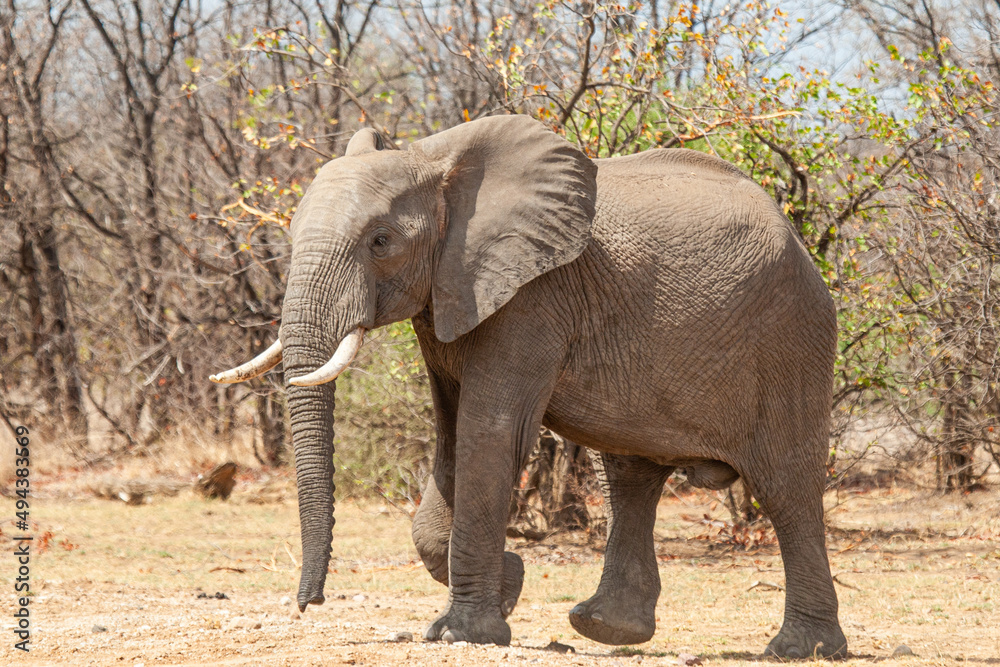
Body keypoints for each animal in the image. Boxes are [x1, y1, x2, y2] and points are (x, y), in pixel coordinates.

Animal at [209, 113, 844, 656]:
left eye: (381, 241)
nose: (308, 604)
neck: (435, 162)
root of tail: (798, 239)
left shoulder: (531, 298)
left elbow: (489, 435)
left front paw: (461, 632)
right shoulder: (451, 297)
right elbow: (451, 439)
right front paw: (509, 584)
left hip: (791, 340)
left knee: (785, 487)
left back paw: (800, 649)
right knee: (630, 476)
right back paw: (605, 627)